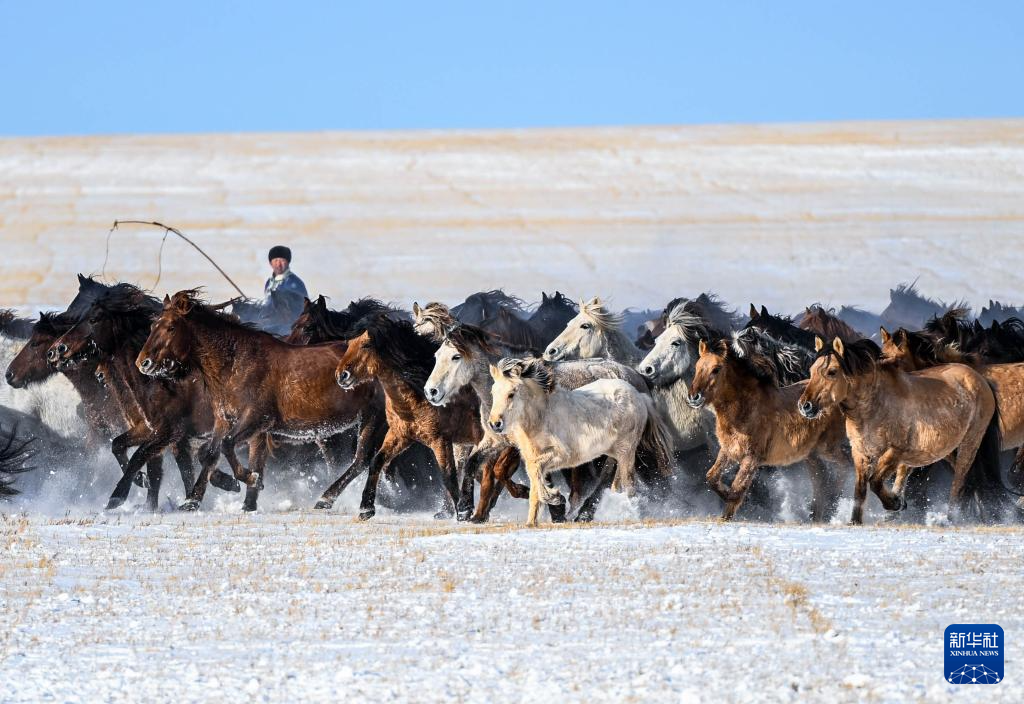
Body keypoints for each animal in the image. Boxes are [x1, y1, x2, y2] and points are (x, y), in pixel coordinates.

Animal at [138, 288, 382, 513]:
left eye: (171, 327)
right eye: (152, 326)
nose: (143, 363)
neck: (236, 363)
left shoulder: (257, 420)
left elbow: (227, 447)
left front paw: (251, 479)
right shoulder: (226, 420)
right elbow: (210, 454)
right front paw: (205, 497)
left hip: (372, 418)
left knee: (363, 459)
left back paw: (329, 499)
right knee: (360, 460)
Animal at [333, 317, 481, 519]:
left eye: (366, 344)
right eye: (349, 343)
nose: (341, 375)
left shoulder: (440, 440)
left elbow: (448, 476)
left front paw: (463, 513)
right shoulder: (400, 435)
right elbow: (376, 461)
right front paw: (366, 508)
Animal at [487, 360, 671, 523]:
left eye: (511, 394)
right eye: (493, 393)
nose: (495, 424)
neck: (543, 416)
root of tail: (640, 396)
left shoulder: (563, 456)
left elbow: (535, 469)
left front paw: (556, 498)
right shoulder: (534, 456)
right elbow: (534, 483)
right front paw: (532, 522)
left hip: (627, 452)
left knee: (629, 487)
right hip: (616, 454)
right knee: (616, 484)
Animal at [684, 335, 843, 521]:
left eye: (716, 369)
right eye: (697, 367)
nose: (693, 397)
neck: (745, 411)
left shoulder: (751, 459)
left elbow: (738, 488)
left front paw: (730, 507)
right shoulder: (728, 451)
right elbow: (711, 477)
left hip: (829, 449)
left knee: (846, 467)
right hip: (811, 455)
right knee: (822, 480)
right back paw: (818, 514)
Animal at [794, 337, 1003, 523]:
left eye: (832, 372)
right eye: (812, 370)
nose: (805, 406)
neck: (875, 404)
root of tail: (980, 379)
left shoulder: (895, 451)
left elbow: (875, 481)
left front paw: (894, 504)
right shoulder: (861, 452)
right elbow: (860, 490)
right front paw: (855, 521)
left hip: (969, 444)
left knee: (959, 483)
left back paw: (950, 518)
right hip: (943, 450)